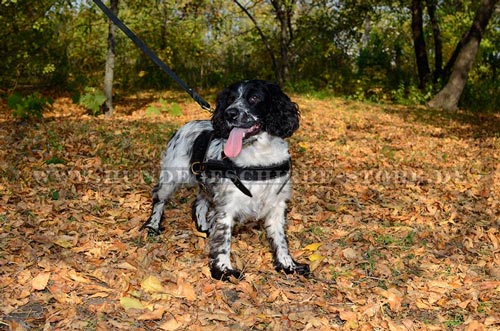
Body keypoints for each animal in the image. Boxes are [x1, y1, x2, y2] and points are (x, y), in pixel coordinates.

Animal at [141, 79, 310, 282]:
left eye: (254, 98)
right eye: (230, 99)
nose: (230, 113)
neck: (258, 157)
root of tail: (184, 126)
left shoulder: (277, 204)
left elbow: (280, 238)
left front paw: (287, 265)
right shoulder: (226, 205)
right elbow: (223, 240)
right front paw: (223, 269)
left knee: (199, 202)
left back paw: (204, 227)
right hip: (171, 177)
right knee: (159, 197)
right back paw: (152, 225)